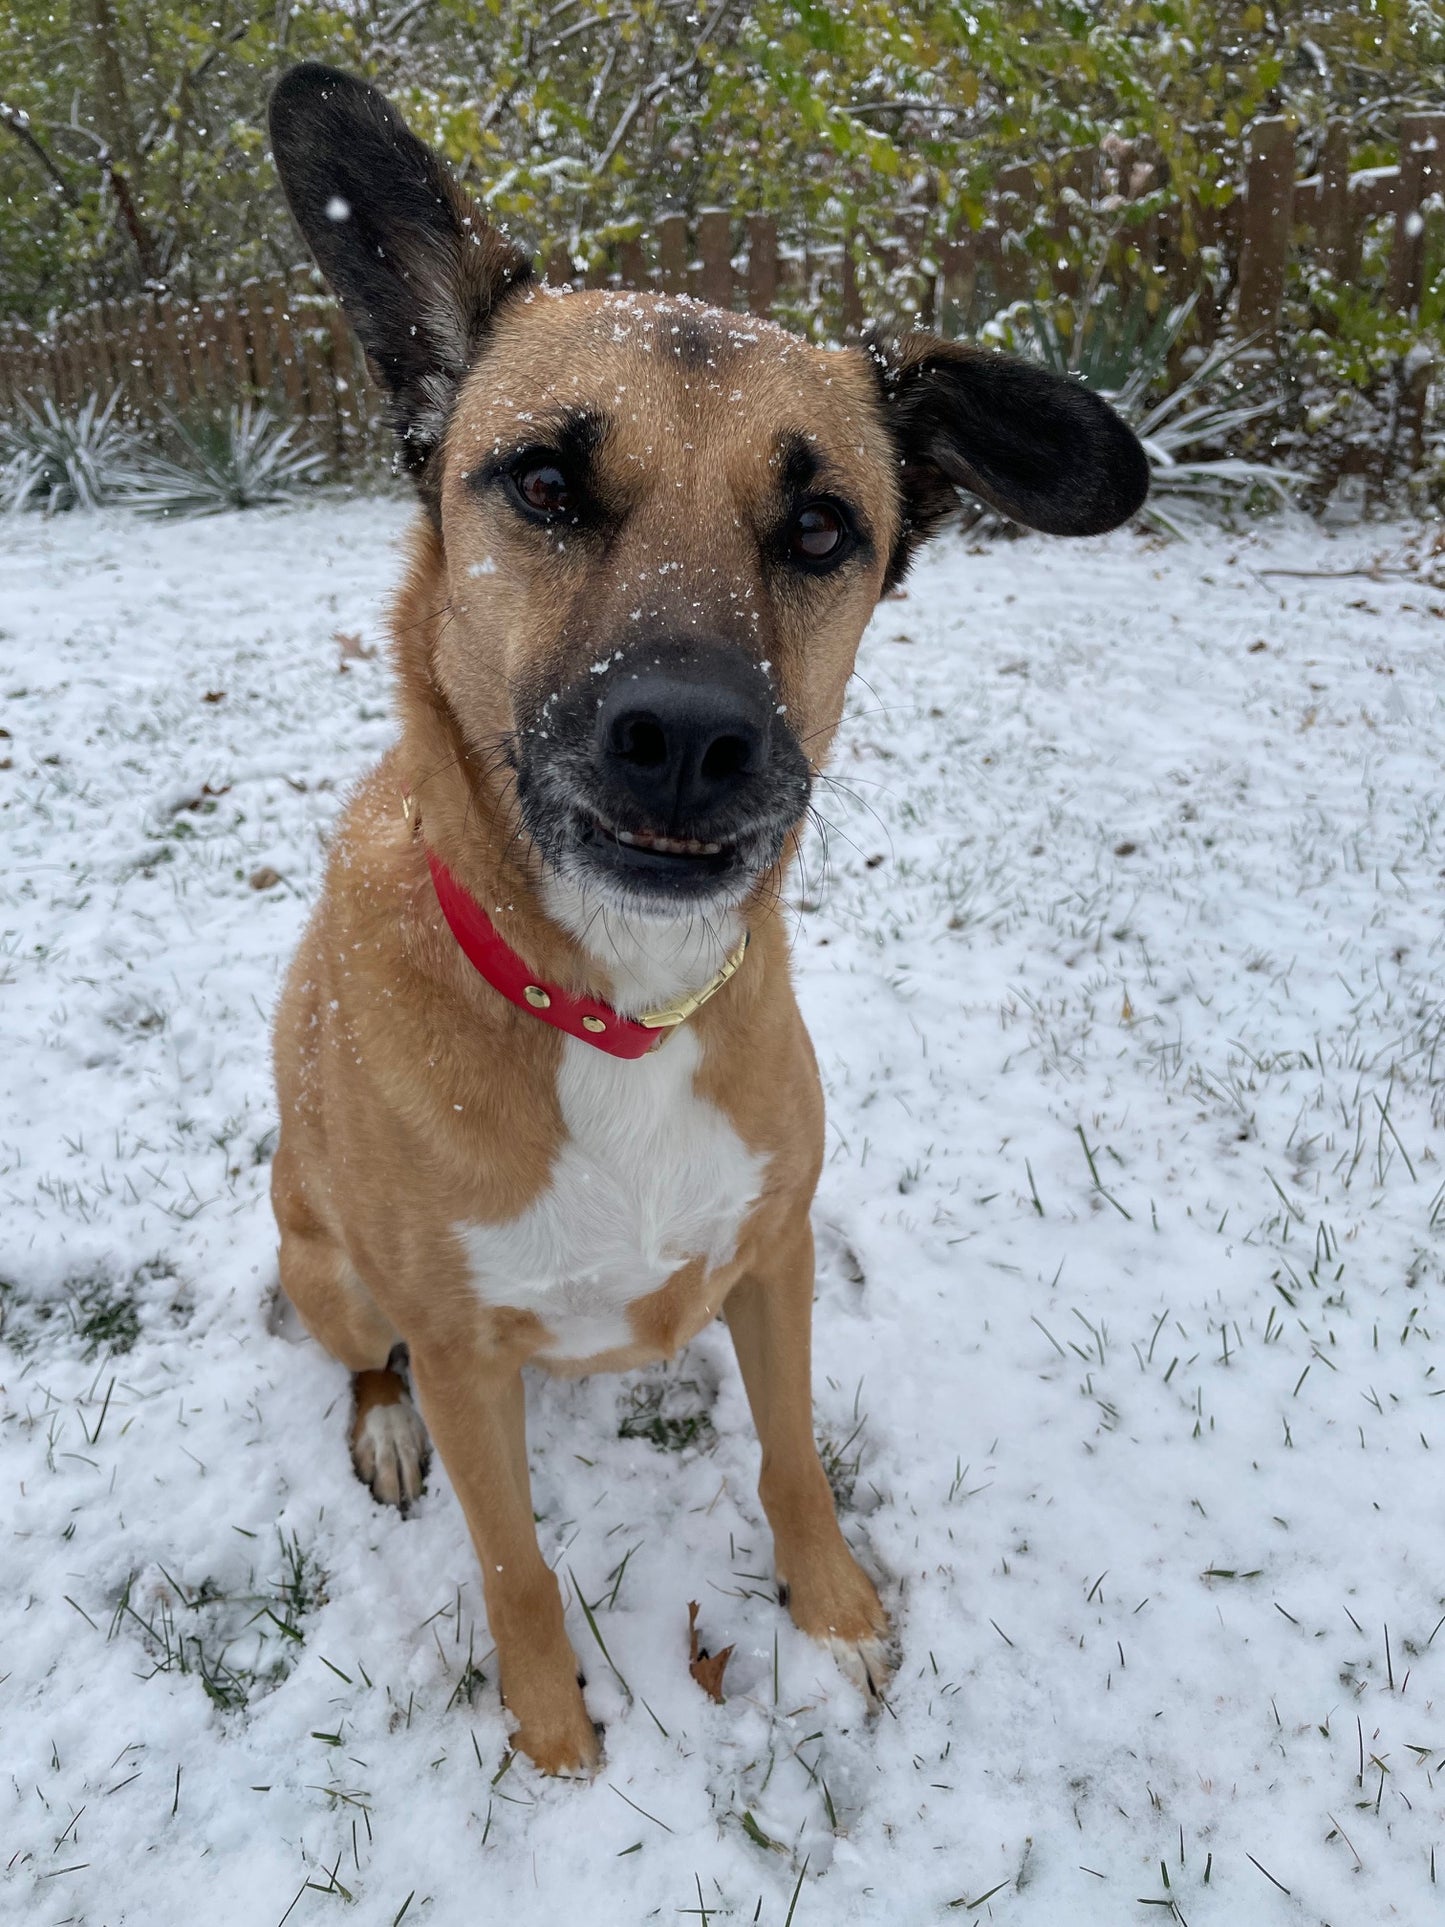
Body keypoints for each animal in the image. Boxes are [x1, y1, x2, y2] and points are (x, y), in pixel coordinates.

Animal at [265, 64, 1156, 1772]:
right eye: (545, 482)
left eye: (820, 528)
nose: (686, 737)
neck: (619, 999)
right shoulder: (464, 1350)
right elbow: (512, 1556)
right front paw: (553, 1734)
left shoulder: (776, 1248)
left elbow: (791, 1452)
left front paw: (835, 1610)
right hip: (316, 1254)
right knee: (358, 1364)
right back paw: (382, 1429)